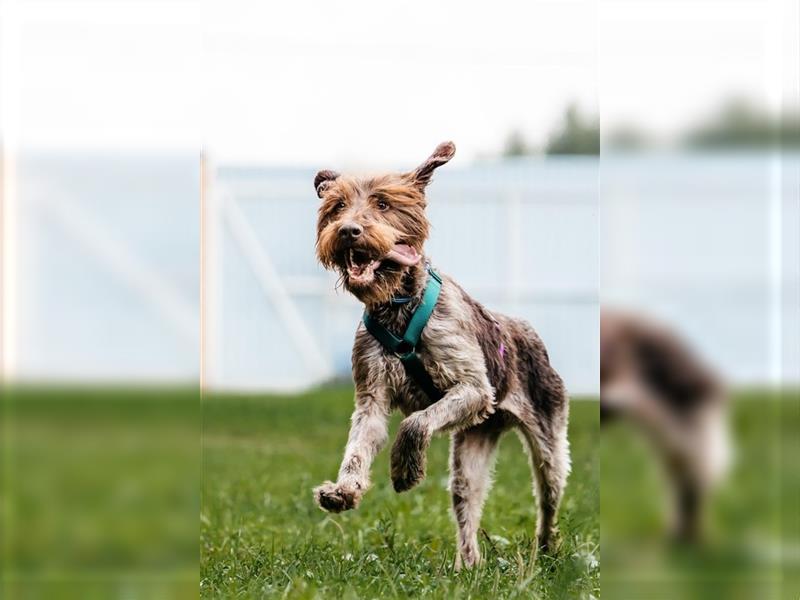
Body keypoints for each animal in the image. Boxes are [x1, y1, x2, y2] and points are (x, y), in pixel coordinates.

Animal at [310, 141, 568, 568]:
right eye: (337, 206)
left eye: (383, 203)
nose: (348, 231)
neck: (398, 307)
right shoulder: (371, 396)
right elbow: (358, 447)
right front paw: (345, 490)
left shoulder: (474, 388)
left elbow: (415, 423)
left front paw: (404, 470)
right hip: (473, 444)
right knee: (467, 500)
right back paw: (468, 565)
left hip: (548, 437)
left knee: (548, 496)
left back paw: (546, 549)